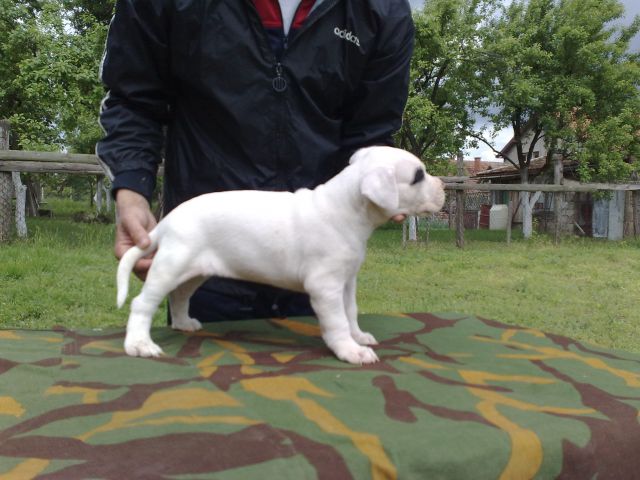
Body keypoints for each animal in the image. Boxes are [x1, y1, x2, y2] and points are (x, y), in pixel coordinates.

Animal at [116, 146, 444, 364]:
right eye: (418, 176)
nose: (442, 186)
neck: (345, 208)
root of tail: (168, 220)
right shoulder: (325, 287)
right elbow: (337, 321)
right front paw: (350, 350)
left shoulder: (347, 281)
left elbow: (350, 312)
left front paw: (358, 336)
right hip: (170, 266)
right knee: (142, 304)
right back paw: (139, 344)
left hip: (194, 271)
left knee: (180, 296)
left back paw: (183, 323)